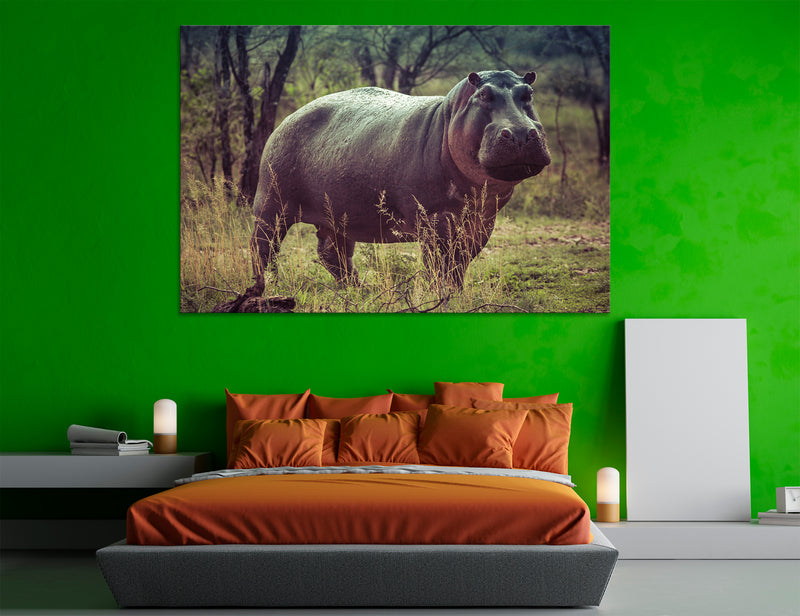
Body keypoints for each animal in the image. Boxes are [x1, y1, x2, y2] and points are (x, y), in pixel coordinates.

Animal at [250, 69, 551, 291]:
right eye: (484, 94)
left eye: (529, 94)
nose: (521, 133)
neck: (448, 116)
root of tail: (289, 116)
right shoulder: (434, 219)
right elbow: (438, 263)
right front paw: (441, 296)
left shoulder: (482, 220)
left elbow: (460, 263)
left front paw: (457, 293)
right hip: (271, 204)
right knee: (262, 247)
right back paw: (266, 288)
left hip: (336, 215)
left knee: (332, 253)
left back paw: (359, 290)